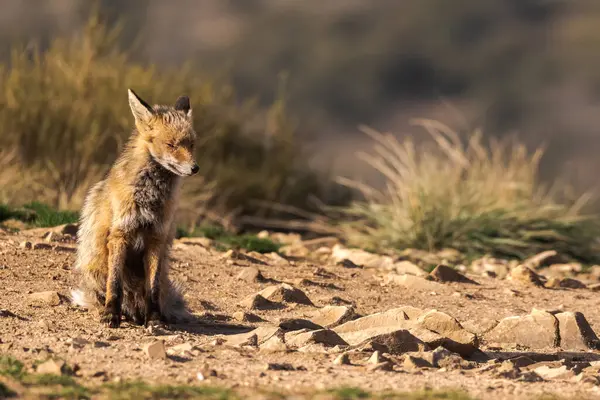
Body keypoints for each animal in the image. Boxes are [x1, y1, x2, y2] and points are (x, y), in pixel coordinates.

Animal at [70, 89, 197, 326]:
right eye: (171, 145)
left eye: (191, 145)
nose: (195, 168)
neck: (149, 198)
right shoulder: (120, 234)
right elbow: (115, 285)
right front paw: (111, 314)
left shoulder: (156, 237)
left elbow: (152, 289)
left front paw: (154, 318)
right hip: (95, 270)